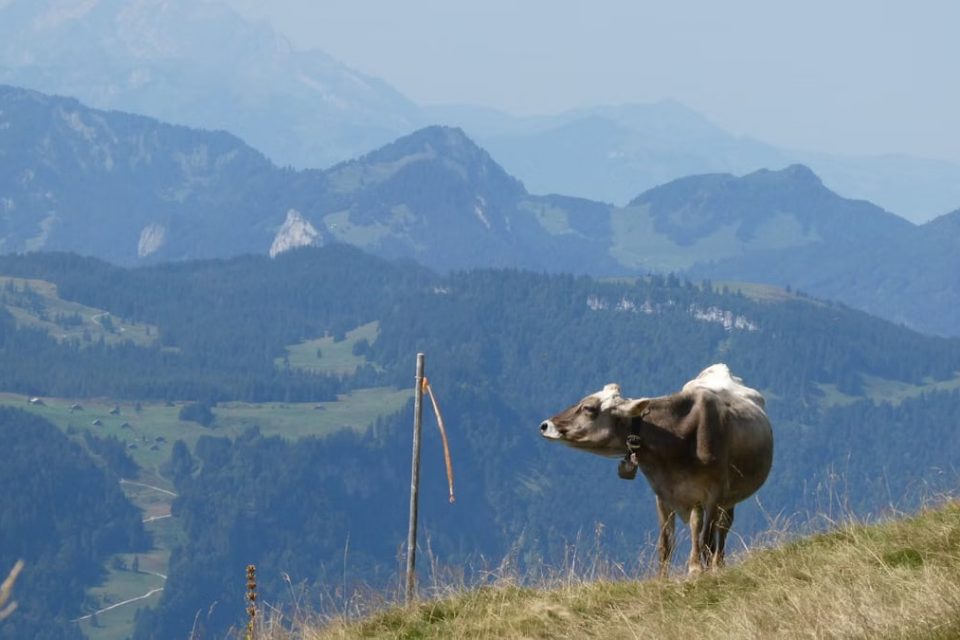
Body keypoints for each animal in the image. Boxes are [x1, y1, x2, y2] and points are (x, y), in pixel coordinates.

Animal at [539, 364, 773, 576]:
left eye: (588, 408)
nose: (545, 425)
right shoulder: (663, 494)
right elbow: (666, 543)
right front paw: (663, 579)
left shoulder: (713, 494)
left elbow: (705, 537)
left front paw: (698, 570)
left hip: (728, 496)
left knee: (721, 528)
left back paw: (715, 565)